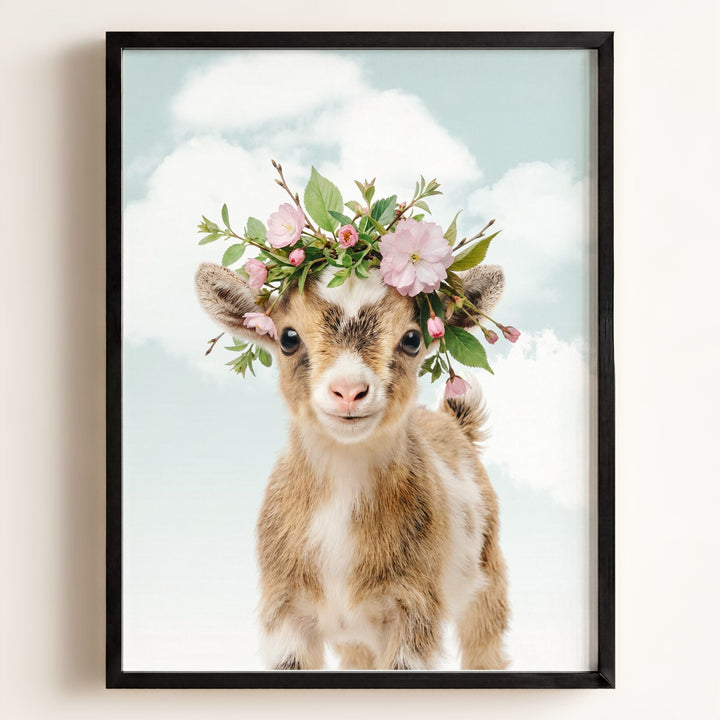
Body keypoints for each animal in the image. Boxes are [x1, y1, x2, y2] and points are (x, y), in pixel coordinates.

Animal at [195, 262, 509, 670]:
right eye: (288, 338)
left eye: (412, 338)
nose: (348, 391)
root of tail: (454, 423)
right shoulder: (285, 612)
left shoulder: (413, 610)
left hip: (488, 577)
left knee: (485, 644)